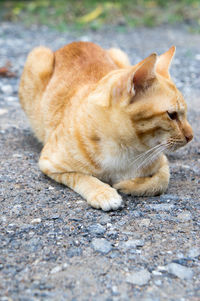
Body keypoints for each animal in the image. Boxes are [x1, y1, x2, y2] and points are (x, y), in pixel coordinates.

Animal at [18, 41, 192, 211]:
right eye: (172, 115)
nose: (191, 137)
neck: (125, 150)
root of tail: (77, 42)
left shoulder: (162, 163)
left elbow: (162, 181)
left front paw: (128, 185)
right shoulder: (49, 163)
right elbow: (82, 177)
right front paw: (103, 193)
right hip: (38, 56)